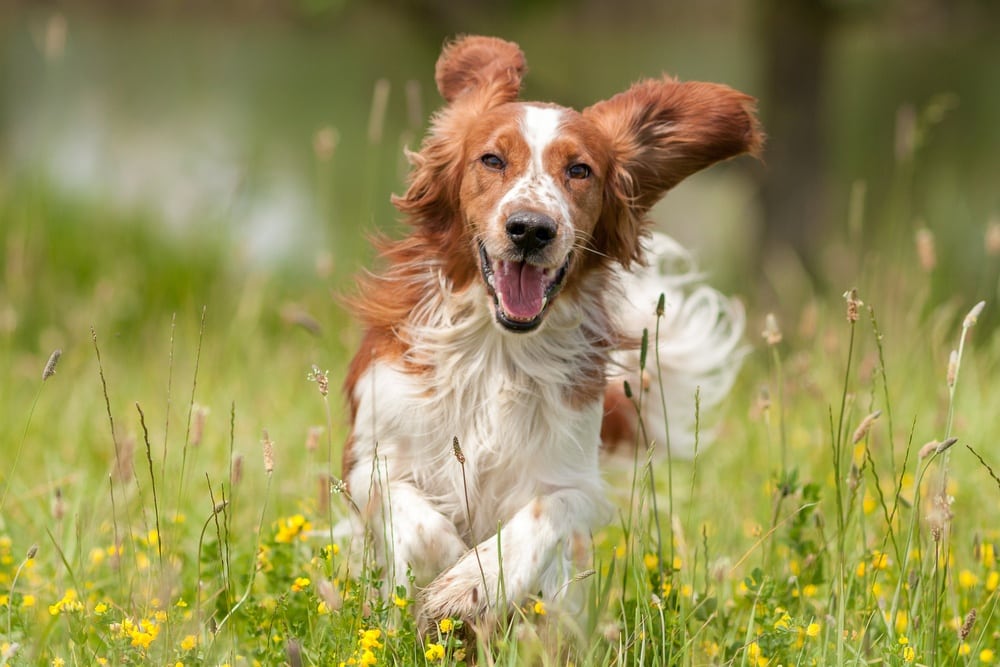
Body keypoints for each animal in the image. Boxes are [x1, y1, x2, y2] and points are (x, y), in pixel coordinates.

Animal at [340, 34, 760, 624]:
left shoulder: (574, 477)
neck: (497, 348)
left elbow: (541, 515)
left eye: (579, 170)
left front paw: (472, 583)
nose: (531, 229)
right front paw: (442, 574)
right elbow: (420, 525)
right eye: (491, 159)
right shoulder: (370, 455)